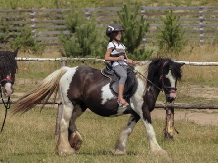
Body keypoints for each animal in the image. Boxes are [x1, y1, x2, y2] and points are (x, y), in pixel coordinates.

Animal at [13, 58, 184, 156]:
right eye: (165, 75)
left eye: (176, 77)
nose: (172, 97)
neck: (144, 84)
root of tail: (68, 70)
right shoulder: (143, 111)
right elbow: (150, 131)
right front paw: (158, 151)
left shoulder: (136, 113)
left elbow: (127, 130)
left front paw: (119, 150)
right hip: (68, 104)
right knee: (64, 123)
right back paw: (65, 150)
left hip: (81, 106)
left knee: (71, 122)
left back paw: (76, 141)